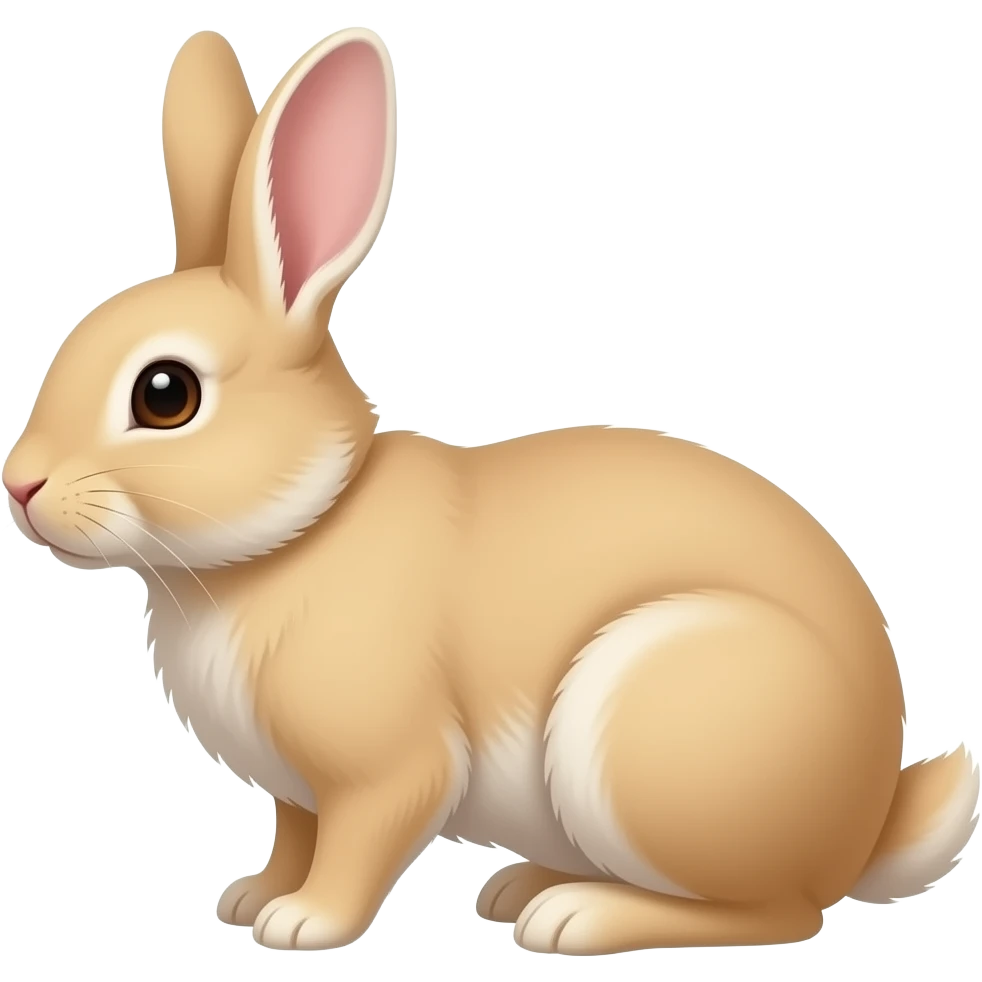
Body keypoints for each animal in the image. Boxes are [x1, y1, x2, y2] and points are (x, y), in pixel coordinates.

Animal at [2, 26, 979, 956]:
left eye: (165, 395)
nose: (21, 485)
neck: (301, 531)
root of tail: (863, 825)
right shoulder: (299, 793)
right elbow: (294, 836)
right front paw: (251, 899)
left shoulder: (387, 770)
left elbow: (357, 845)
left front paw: (303, 924)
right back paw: (521, 888)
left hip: (648, 728)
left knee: (777, 914)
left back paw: (574, 918)